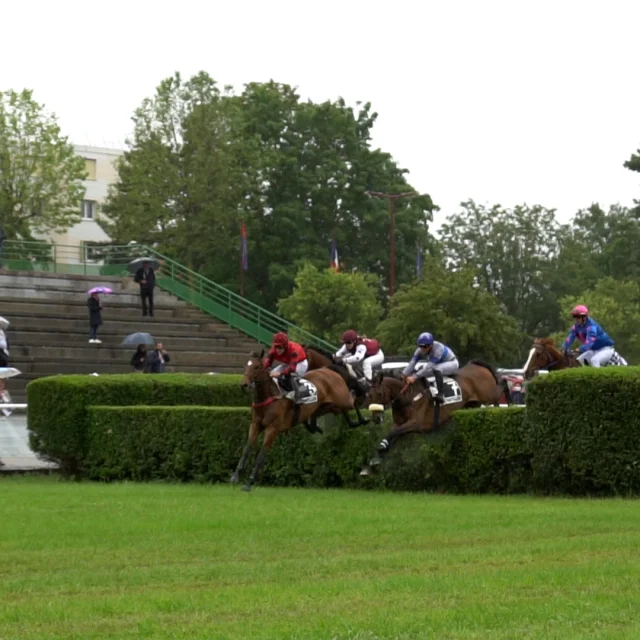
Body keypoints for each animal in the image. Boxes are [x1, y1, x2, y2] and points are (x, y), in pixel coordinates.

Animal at [232, 350, 368, 490]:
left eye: (256, 367)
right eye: (245, 366)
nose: (244, 385)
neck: (270, 396)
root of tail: (329, 369)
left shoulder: (272, 429)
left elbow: (261, 455)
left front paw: (249, 482)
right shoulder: (255, 425)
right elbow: (246, 449)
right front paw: (235, 476)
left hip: (342, 398)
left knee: (352, 398)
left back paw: (362, 418)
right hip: (329, 404)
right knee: (336, 409)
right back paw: (322, 425)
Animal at [362, 360, 512, 476]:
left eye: (379, 393)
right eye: (368, 395)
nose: (376, 418)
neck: (408, 397)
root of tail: (476, 365)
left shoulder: (416, 422)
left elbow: (393, 433)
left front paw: (379, 451)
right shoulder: (400, 424)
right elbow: (391, 435)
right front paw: (375, 460)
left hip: (488, 394)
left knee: (503, 383)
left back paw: (509, 404)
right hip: (472, 404)